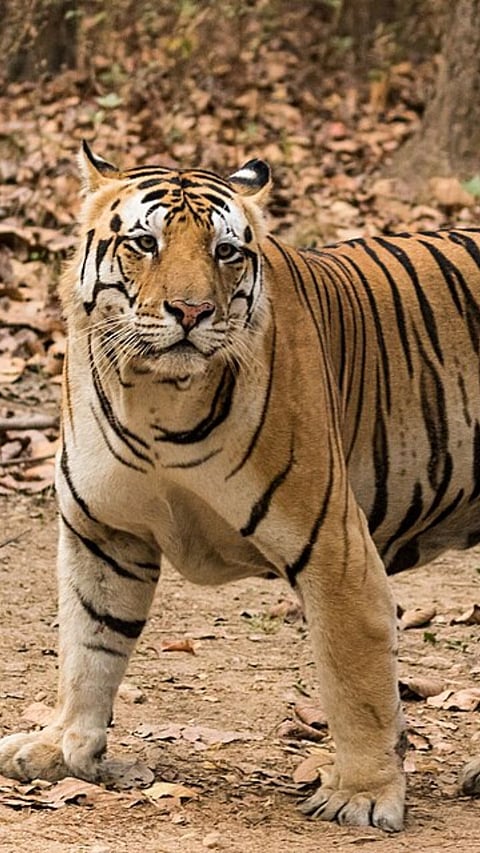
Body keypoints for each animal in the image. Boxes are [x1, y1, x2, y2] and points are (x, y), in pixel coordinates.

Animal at [0, 141, 479, 833]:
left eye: (225, 251)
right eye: (144, 242)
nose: (192, 312)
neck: (155, 396)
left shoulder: (335, 548)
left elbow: (356, 680)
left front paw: (363, 795)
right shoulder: (104, 532)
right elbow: (88, 645)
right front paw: (62, 747)